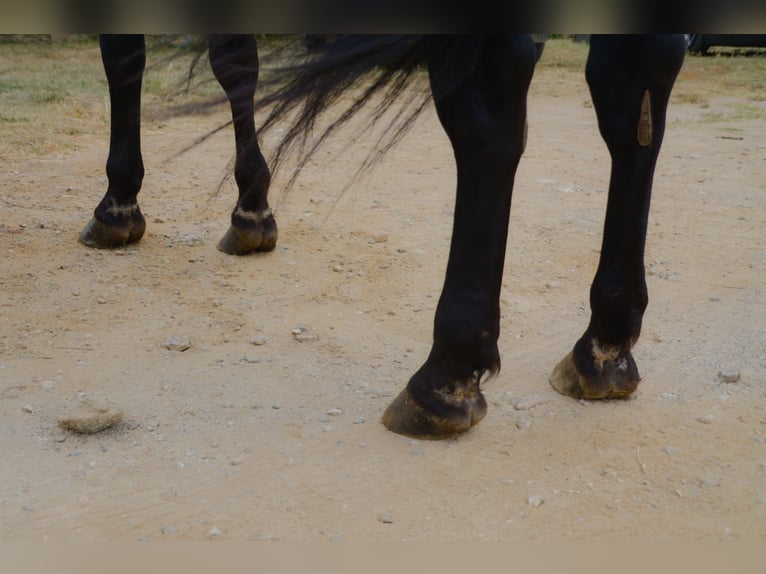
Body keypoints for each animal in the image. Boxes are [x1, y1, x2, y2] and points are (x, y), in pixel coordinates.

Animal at [82, 34, 685, 440]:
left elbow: (127, 56)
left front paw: (118, 203)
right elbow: (235, 61)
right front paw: (252, 209)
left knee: (490, 98)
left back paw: (443, 377)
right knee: (635, 82)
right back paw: (605, 344)